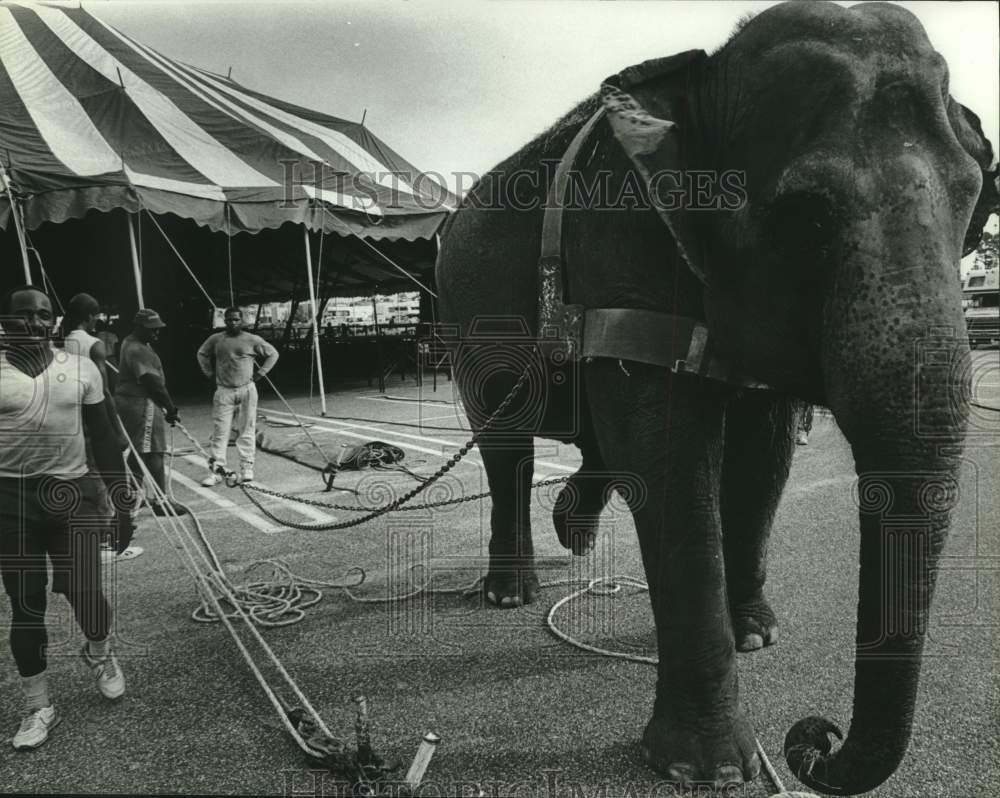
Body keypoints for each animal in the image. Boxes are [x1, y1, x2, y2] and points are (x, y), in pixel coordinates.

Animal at [434, 3, 996, 796]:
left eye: (970, 201)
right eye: (807, 216)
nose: (812, 738)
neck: (705, 78)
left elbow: (763, 452)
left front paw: (756, 635)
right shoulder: (620, 239)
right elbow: (669, 451)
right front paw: (709, 768)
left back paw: (573, 531)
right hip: (466, 318)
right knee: (505, 444)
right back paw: (509, 592)